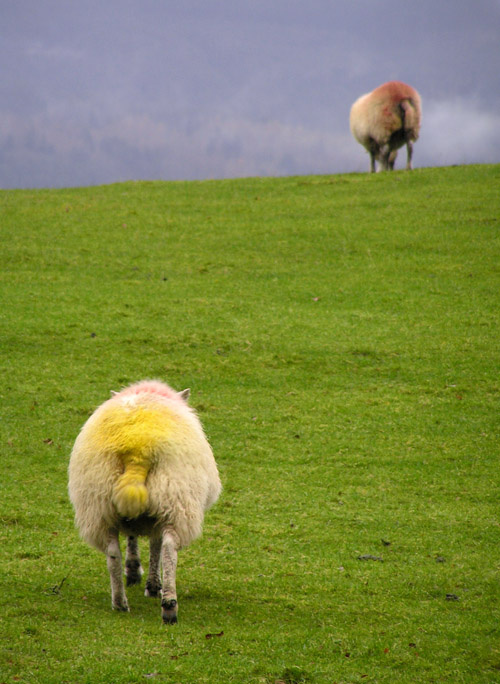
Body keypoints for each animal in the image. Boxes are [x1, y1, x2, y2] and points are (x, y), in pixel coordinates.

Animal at [68, 379, 221, 624]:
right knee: (169, 549)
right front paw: (152, 585)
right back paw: (168, 605)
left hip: (97, 503)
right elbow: (156, 545)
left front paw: (133, 570)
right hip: (175, 499)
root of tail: (137, 450)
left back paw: (120, 603)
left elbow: (132, 536)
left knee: (112, 553)